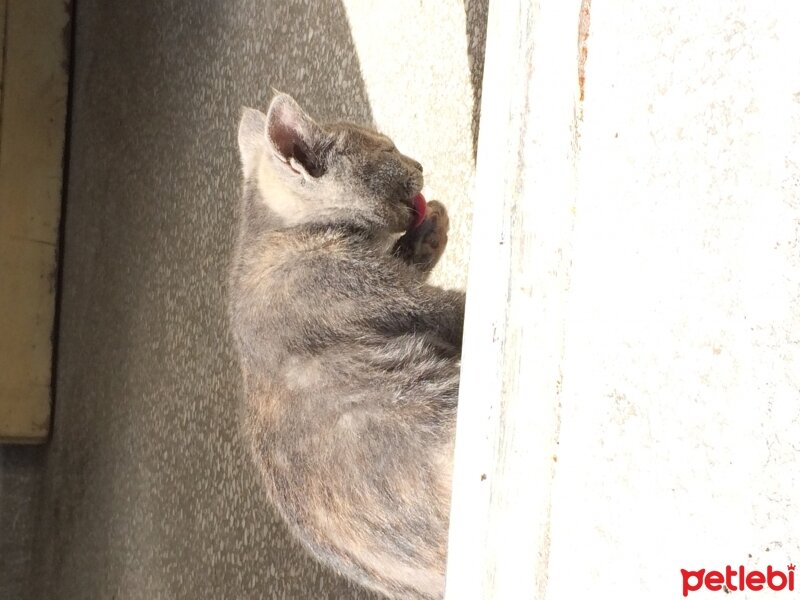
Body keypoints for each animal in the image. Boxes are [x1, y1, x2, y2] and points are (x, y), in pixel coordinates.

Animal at [228, 94, 466, 600]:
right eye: (388, 149)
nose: (418, 164)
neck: (279, 235)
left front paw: (429, 229)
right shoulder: (387, 295)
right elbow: (452, 306)